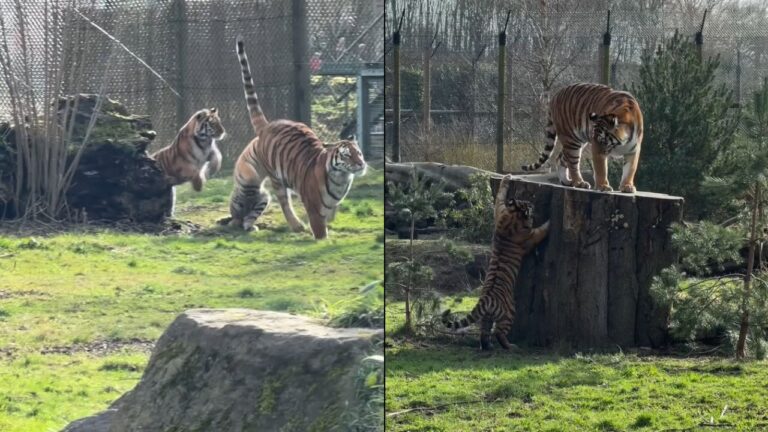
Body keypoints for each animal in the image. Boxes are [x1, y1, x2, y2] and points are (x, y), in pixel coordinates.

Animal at [226, 36, 366, 239]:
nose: (361, 164)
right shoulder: (313, 205)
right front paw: (323, 239)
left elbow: (330, 215)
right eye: (347, 155)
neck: (342, 179)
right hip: (275, 177)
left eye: (359, 153)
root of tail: (268, 125)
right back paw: (296, 225)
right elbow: (320, 228)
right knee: (284, 202)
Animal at [442, 174, 549, 351]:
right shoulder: (530, 236)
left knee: (484, 331)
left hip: (486, 316)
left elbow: (500, 194)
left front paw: (507, 177)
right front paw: (551, 222)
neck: (513, 216)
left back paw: (487, 346)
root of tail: (486, 299)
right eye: (528, 204)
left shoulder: (499, 209)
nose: (533, 204)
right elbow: (540, 231)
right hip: (509, 312)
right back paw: (510, 346)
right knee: (499, 332)